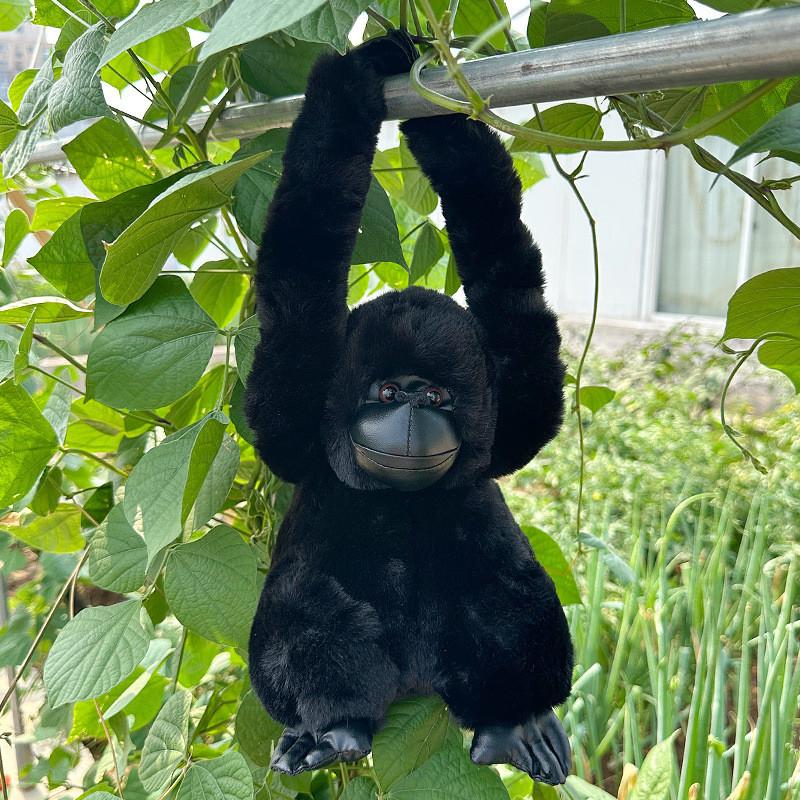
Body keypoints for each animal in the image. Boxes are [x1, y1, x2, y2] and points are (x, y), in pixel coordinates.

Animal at [245, 30, 573, 785]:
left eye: (440, 395)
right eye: (389, 392)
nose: (415, 416)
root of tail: (417, 681)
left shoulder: (508, 415)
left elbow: (507, 272)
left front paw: (422, 94)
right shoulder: (294, 411)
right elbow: (303, 255)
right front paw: (371, 66)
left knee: (511, 603)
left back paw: (510, 721)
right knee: (301, 621)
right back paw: (332, 728)